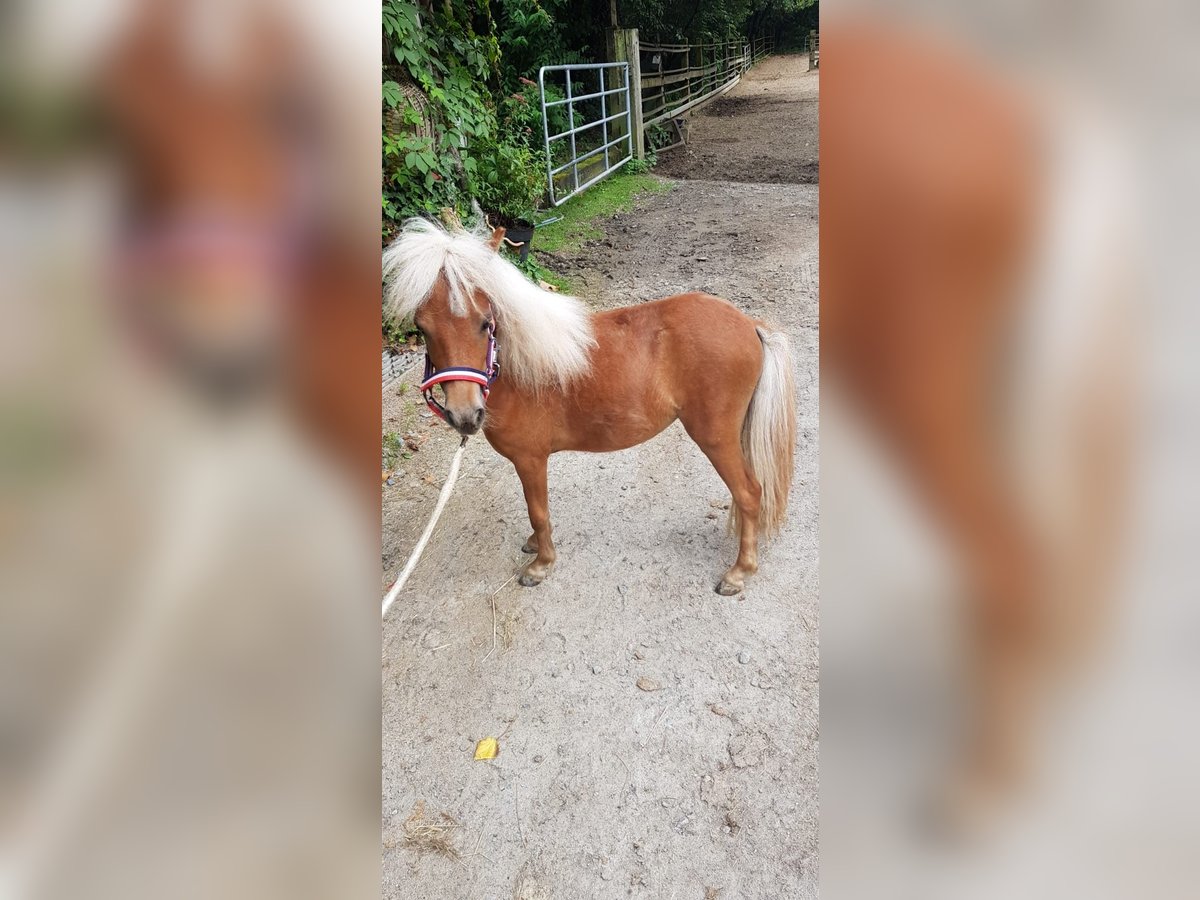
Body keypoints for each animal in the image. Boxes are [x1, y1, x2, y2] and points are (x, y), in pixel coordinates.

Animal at [384, 218, 796, 595]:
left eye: (486, 323)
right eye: (423, 328)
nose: (465, 415)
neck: (520, 368)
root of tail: (749, 324)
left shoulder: (531, 460)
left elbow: (538, 511)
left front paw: (541, 564)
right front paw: (534, 546)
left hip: (715, 439)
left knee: (750, 493)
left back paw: (739, 572)